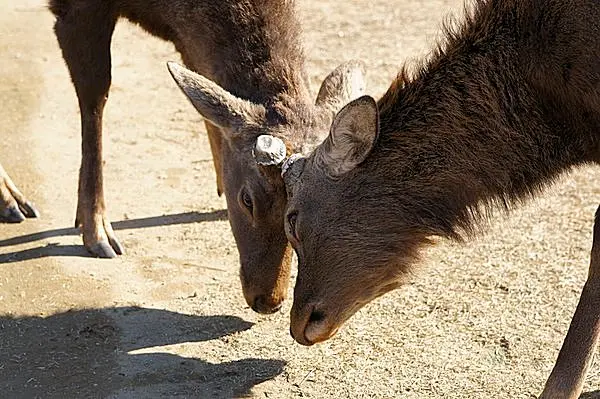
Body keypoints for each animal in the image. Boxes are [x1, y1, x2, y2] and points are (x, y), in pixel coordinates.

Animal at [45, 0, 366, 314]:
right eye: (247, 200)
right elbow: (95, 96)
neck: (162, 11)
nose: (269, 301)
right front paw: (96, 230)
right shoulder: (76, 8)